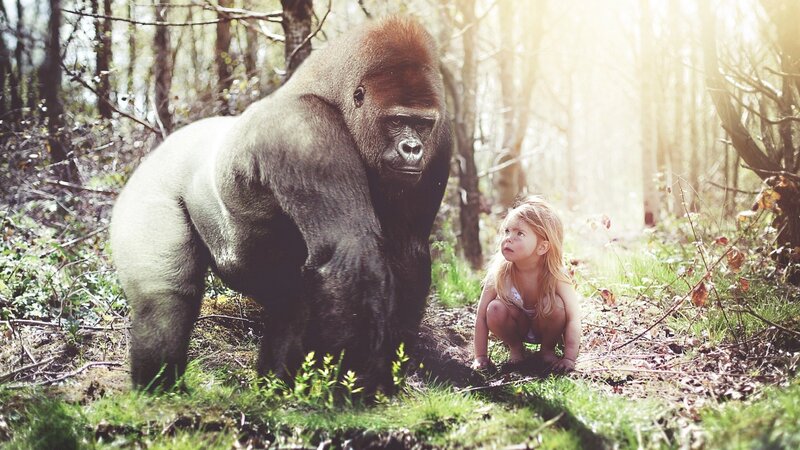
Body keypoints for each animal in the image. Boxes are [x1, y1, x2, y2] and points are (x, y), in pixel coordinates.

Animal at [110, 16, 451, 392]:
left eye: (422, 123)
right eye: (396, 120)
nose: (413, 148)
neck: (333, 94)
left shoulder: (440, 140)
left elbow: (407, 250)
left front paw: (385, 376)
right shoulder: (304, 131)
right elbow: (350, 251)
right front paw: (352, 392)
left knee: (289, 300)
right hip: (151, 184)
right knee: (165, 300)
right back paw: (159, 387)